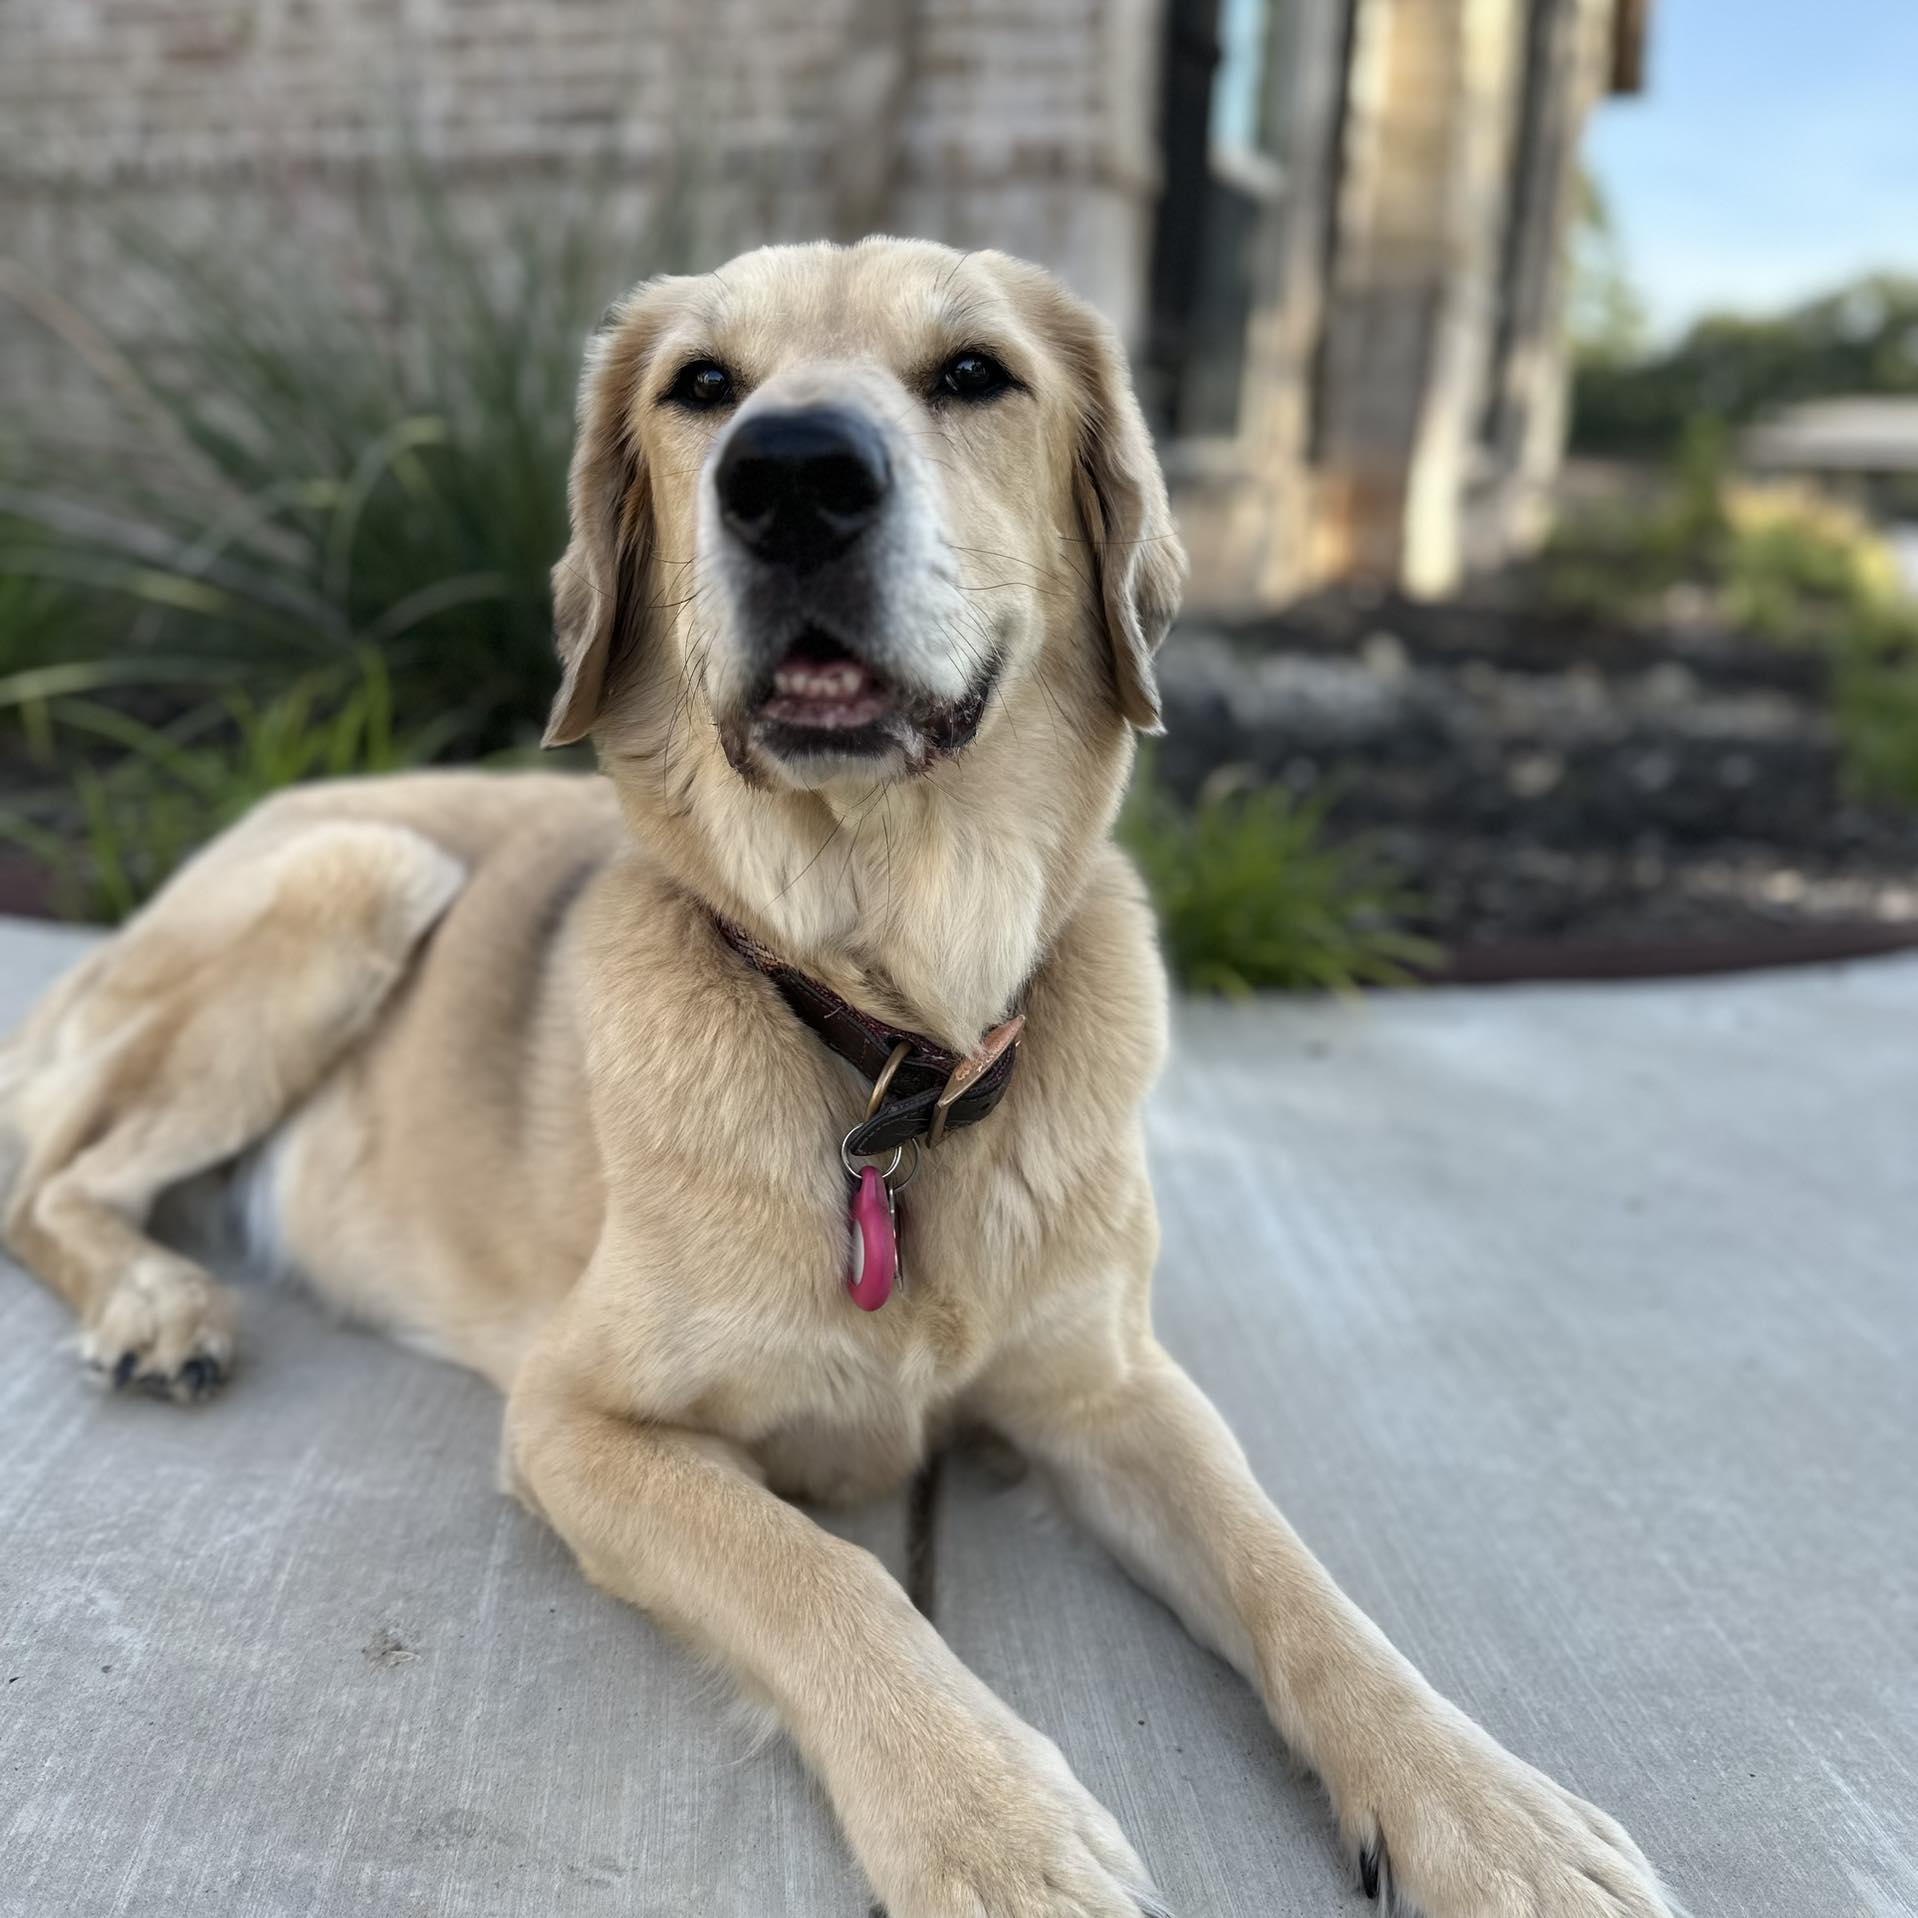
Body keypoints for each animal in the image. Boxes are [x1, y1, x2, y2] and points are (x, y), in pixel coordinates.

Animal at [3, 239, 1680, 1918]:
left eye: (975, 373)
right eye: (699, 385)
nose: (792, 480)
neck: (895, 1044)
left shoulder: (1115, 1387)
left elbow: (1298, 1578)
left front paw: (1484, 1811)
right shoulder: (577, 1420)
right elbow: (829, 1573)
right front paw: (992, 1824)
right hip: (361, 873)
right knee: (47, 1185)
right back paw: (156, 1303)